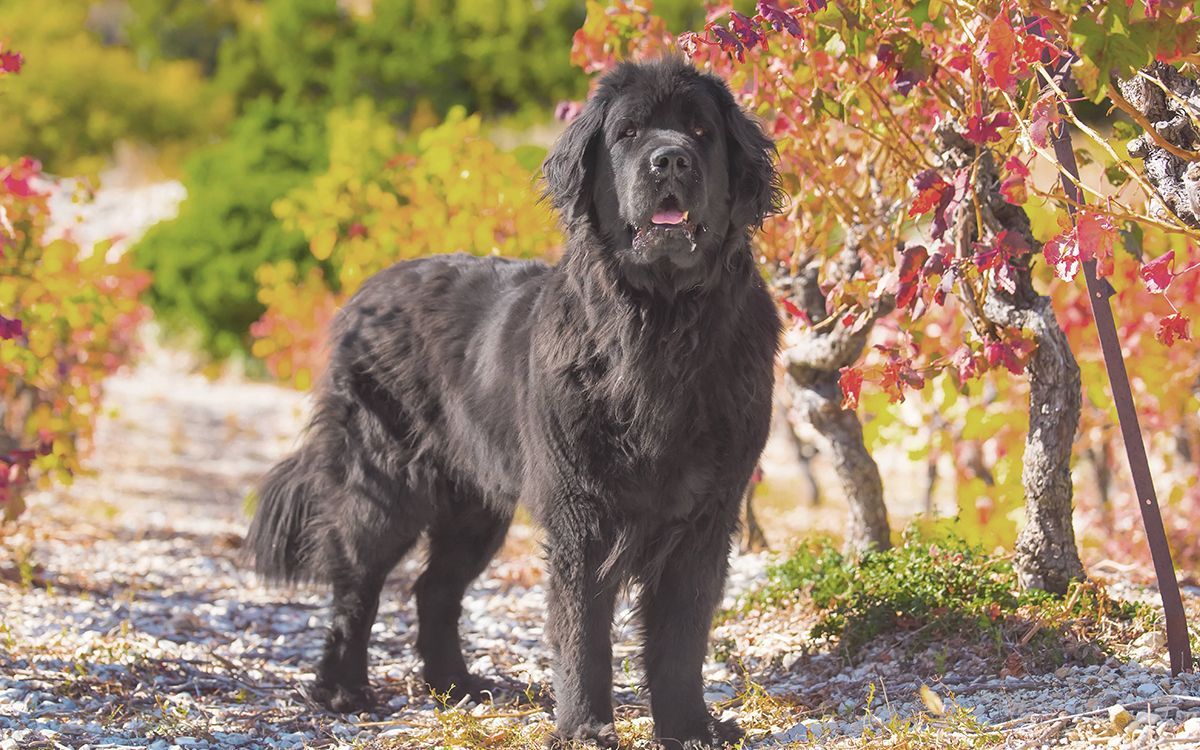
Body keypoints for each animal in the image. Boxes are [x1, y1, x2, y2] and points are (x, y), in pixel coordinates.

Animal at [248, 58, 782, 748]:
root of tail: (368, 290)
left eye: (699, 131)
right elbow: (582, 633)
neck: (658, 326)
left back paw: (456, 687)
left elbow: (683, 633)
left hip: (475, 503)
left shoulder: (705, 512)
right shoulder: (582, 511)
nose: (670, 160)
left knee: (434, 589)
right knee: (356, 586)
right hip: (381, 481)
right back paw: (342, 691)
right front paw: (585, 729)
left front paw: (689, 727)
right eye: (629, 133)